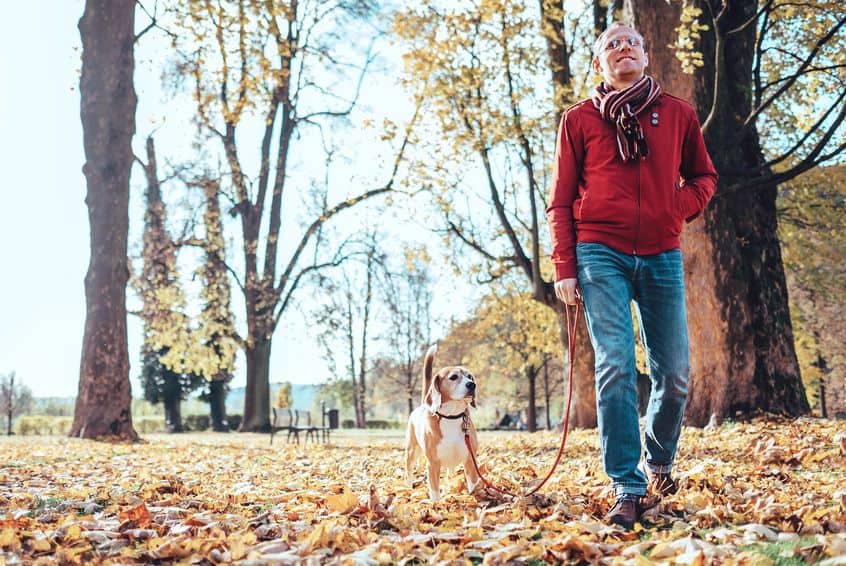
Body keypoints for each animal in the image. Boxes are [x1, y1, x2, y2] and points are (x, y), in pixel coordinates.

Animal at [406, 346, 480, 502]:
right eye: (453, 377)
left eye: (470, 376)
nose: (472, 384)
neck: (451, 417)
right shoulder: (433, 464)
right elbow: (434, 492)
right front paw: (436, 505)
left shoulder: (470, 460)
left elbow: (473, 484)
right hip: (411, 451)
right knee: (408, 472)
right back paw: (407, 488)